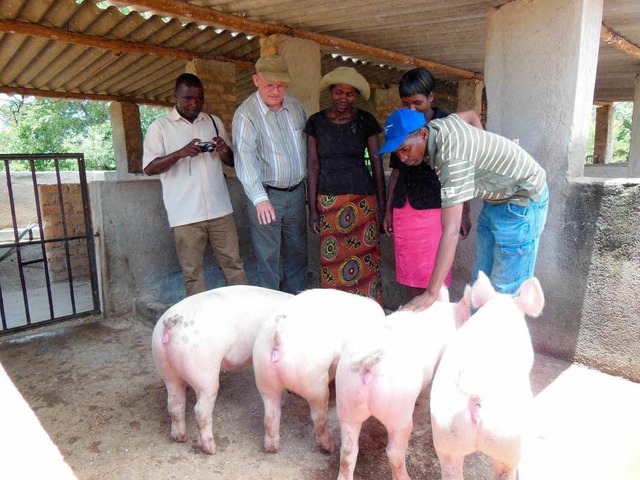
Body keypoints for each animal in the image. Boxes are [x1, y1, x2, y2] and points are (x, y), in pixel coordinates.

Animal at [150, 284, 292, 454]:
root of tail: (171, 320)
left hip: (165, 368)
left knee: (174, 404)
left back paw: (179, 438)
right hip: (204, 371)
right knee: (201, 409)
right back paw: (211, 449)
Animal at [251, 286, 384, 456]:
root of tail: (279, 337)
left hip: (263, 376)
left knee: (270, 414)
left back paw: (271, 448)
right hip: (313, 382)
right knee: (318, 417)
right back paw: (329, 448)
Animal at [336, 286, 470, 478]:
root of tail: (368, 364)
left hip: (346, 397)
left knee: (348, 450)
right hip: (397, 407)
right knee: (394, 450)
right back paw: (406, 476)